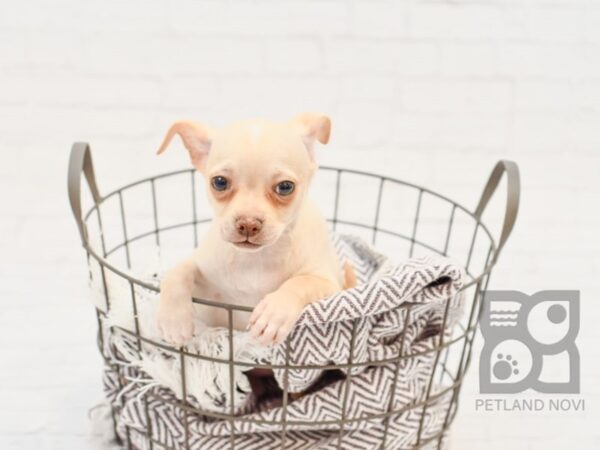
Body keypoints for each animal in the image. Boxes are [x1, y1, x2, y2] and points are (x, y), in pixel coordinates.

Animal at [155, 114, 354, 346]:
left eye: (285, 187)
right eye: (219, 182)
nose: (248, 223)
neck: (255, 260)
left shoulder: (329, 284)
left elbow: (300, 282)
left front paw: (275, 312)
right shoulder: (199, 265)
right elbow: (177, 273)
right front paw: (174, 320)